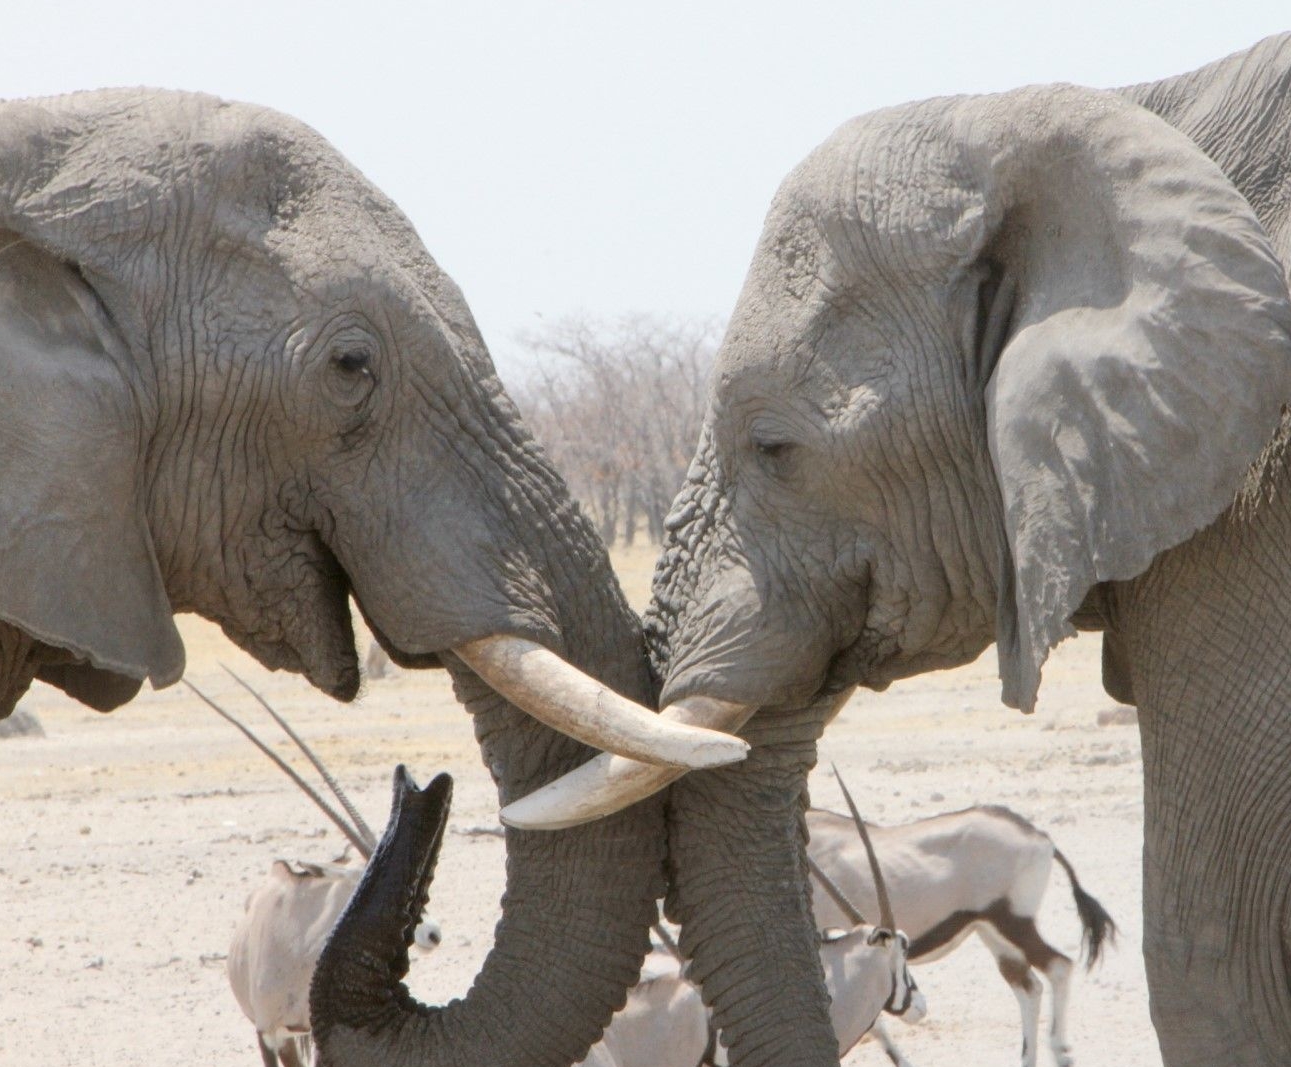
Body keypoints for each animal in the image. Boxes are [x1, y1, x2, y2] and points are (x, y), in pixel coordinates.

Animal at [810, 800, 1115, 1059]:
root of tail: (1039, 836)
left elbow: (873, 1024)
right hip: (994, 933)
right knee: (1028, 986)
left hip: (1013, 923)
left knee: (1058, 966)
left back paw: (1061, 1051)